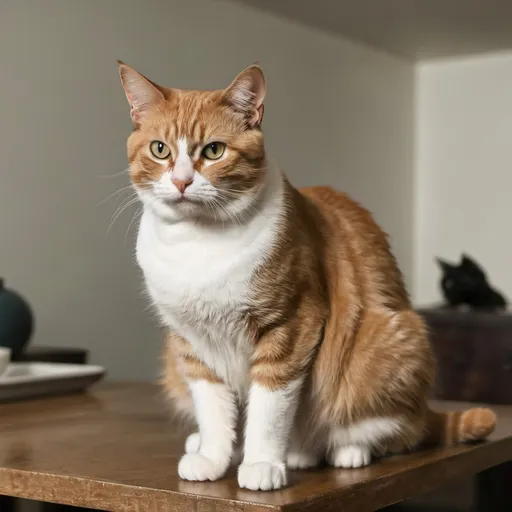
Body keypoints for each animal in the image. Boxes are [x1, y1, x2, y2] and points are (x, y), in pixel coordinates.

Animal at [118, 62, 494, 490]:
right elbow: (213, 410)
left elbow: (269, 410)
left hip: (388, 348)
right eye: (159, 149)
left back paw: (342, 452)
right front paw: (212, 457)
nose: (181, 182)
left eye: (214, 150)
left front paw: (262, 464)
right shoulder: (191, 343)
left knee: (389, 431)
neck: (197, 246)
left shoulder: (291, 328)